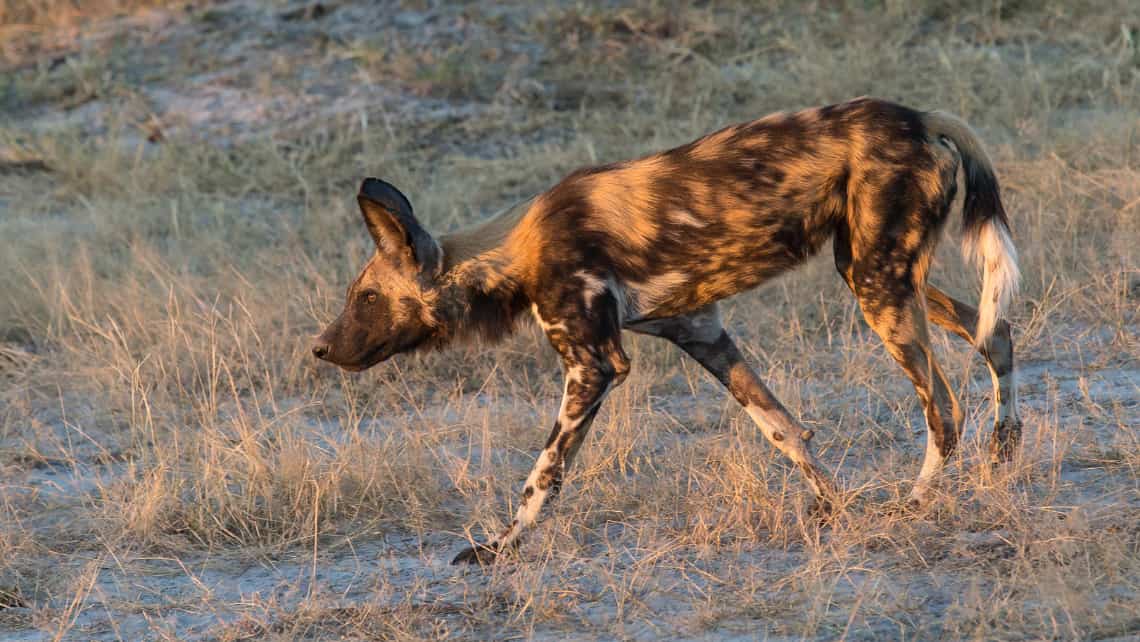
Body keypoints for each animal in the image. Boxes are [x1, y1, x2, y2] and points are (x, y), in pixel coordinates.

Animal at [314, 98, 1026, 565]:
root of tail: (920, 116)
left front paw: (499, 549)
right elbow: (782, 430)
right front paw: (833, 508)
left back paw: (916, 504)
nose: (320, 348)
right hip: (874, 274)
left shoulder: (594, 366)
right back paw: (1004, 448)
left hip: (878, 285)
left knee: (944, 408)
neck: (515, 252)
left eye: (367, 299)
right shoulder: (700, 331)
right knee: (994, 331)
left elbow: (543, 475)